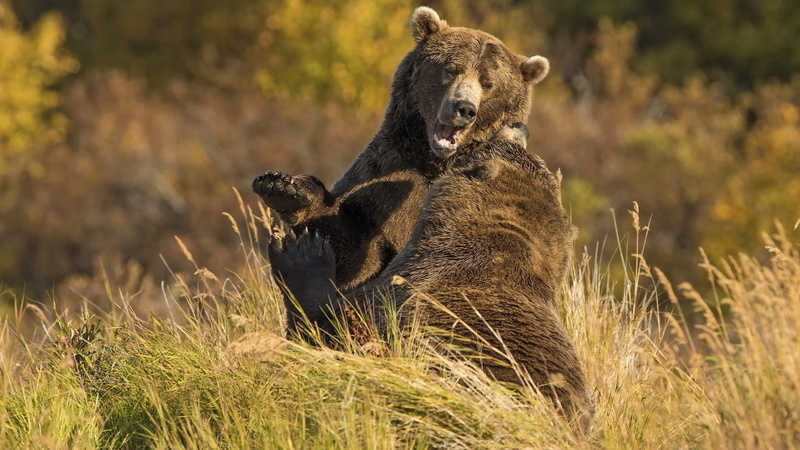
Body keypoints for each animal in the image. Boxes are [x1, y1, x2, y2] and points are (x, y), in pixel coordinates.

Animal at [253, 7, 550, 293]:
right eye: (450, 69)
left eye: (488, 83)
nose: (464, 108)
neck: (433, 161)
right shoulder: (384, 175)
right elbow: (355, 249)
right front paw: (285, 189)